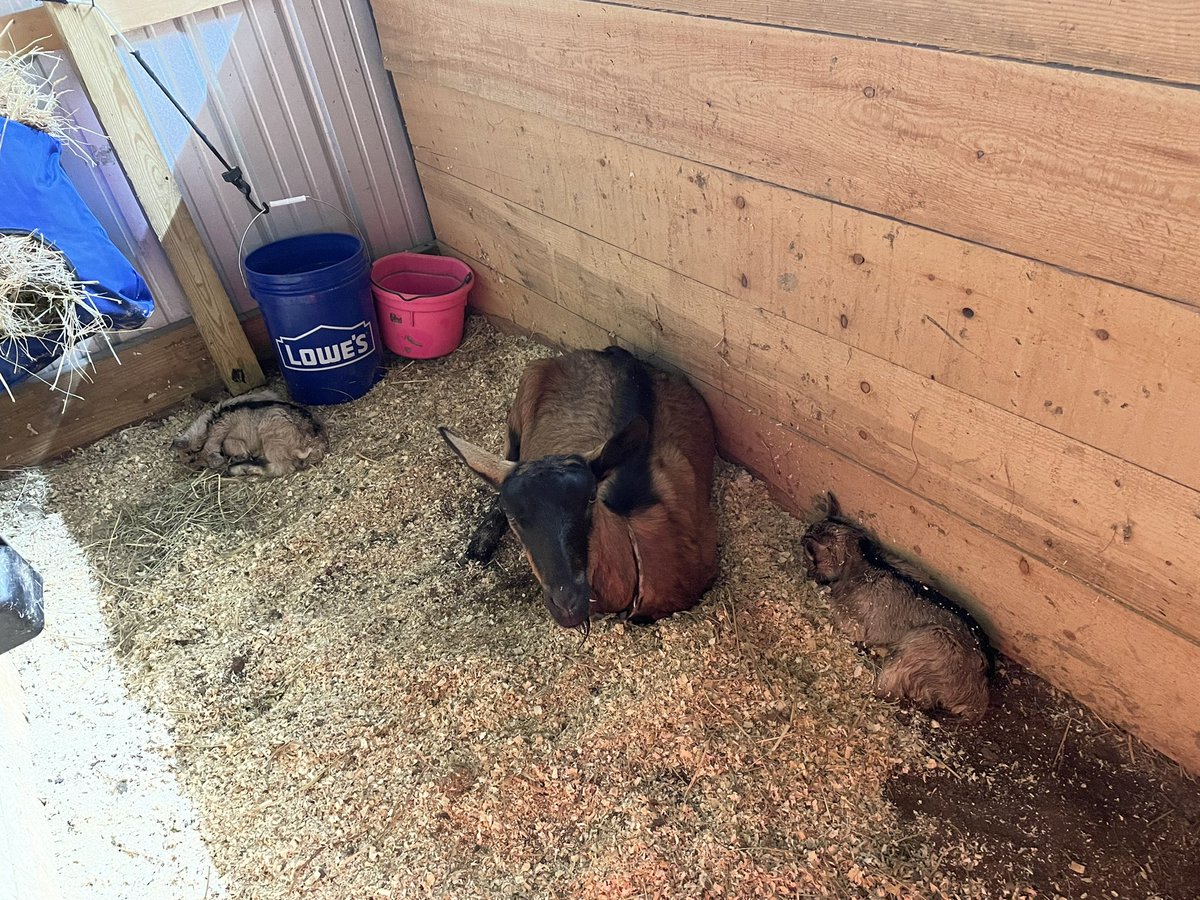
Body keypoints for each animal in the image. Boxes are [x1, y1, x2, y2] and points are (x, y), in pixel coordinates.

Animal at [802, 494, 993, 720]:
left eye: (810, 554)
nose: (808, 572)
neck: (865, 560)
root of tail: (978, 697)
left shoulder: (853, 616)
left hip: (933, 639)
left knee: (888, 689)